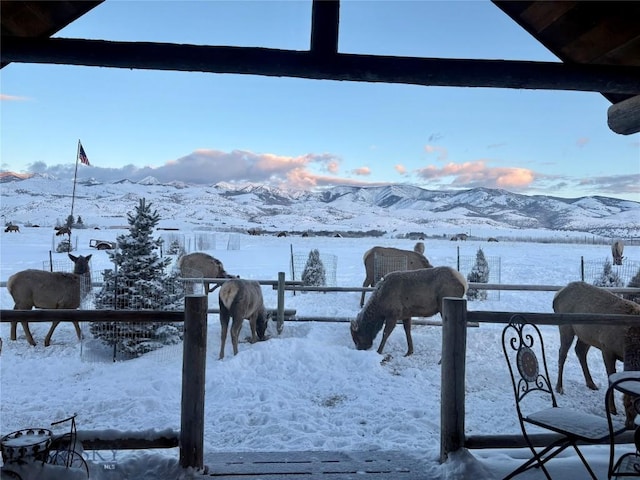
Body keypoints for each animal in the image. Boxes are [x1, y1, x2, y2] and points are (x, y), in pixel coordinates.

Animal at [556, 282, 640, 420]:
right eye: (629, 404)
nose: (629, 422)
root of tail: (558, 294)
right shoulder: (606, 347)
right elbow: (610, 377)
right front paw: (612, 409)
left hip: (586, 336)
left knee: (580, 351)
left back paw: (591, 384)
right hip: (565, 327)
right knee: (562, 353)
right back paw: (559, 388)